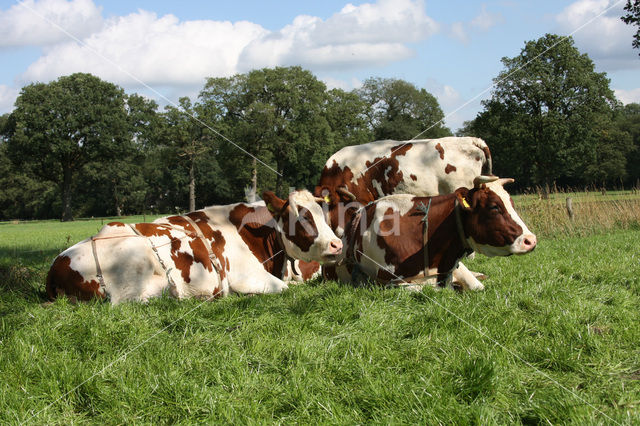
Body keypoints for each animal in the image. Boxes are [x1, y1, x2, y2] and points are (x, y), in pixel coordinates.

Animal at [45, 189, 342, 302]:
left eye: (322, 213)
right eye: (302, 217)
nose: (337, 245)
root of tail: (56, 265)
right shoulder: (249, 278)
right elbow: (285, 287)